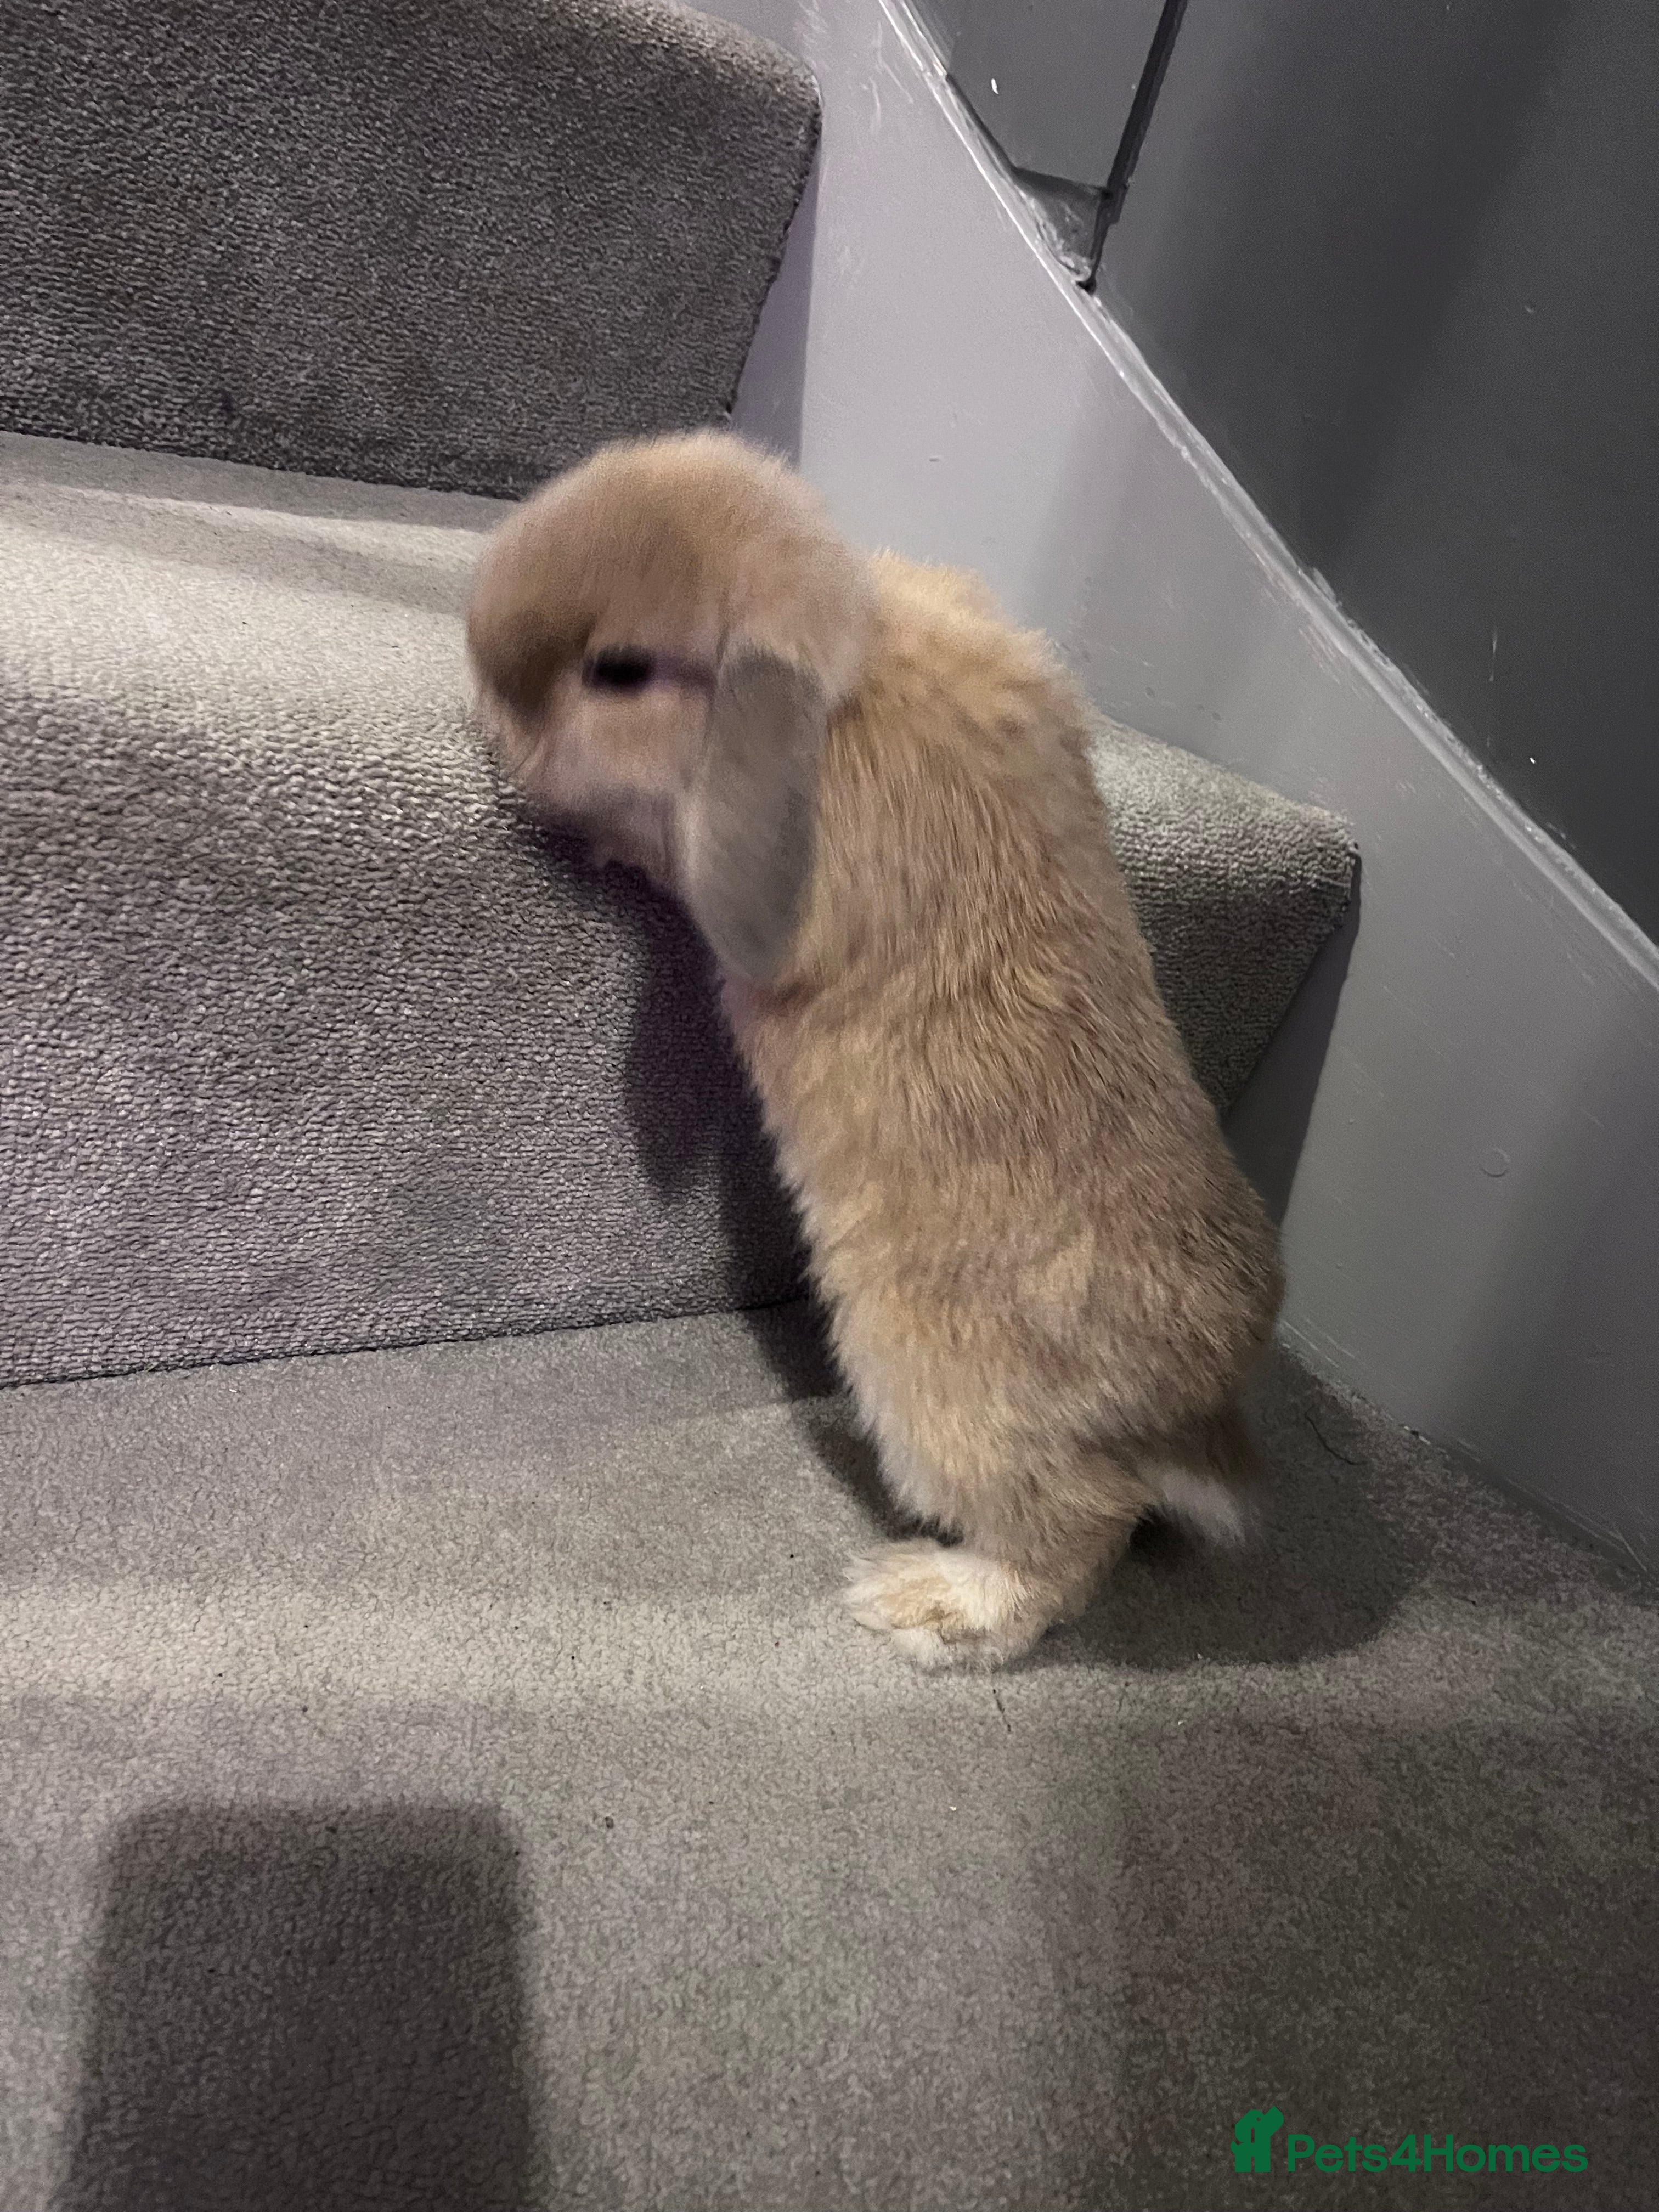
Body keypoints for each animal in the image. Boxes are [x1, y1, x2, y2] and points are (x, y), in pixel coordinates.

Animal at [466, 429, 1284, 1669]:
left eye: (619, 669)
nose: (481, 683)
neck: (858, 660)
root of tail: (1195, 1415)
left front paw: (601, 843)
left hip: (938, 1386)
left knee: (1073, 1532)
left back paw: (923, 1603)